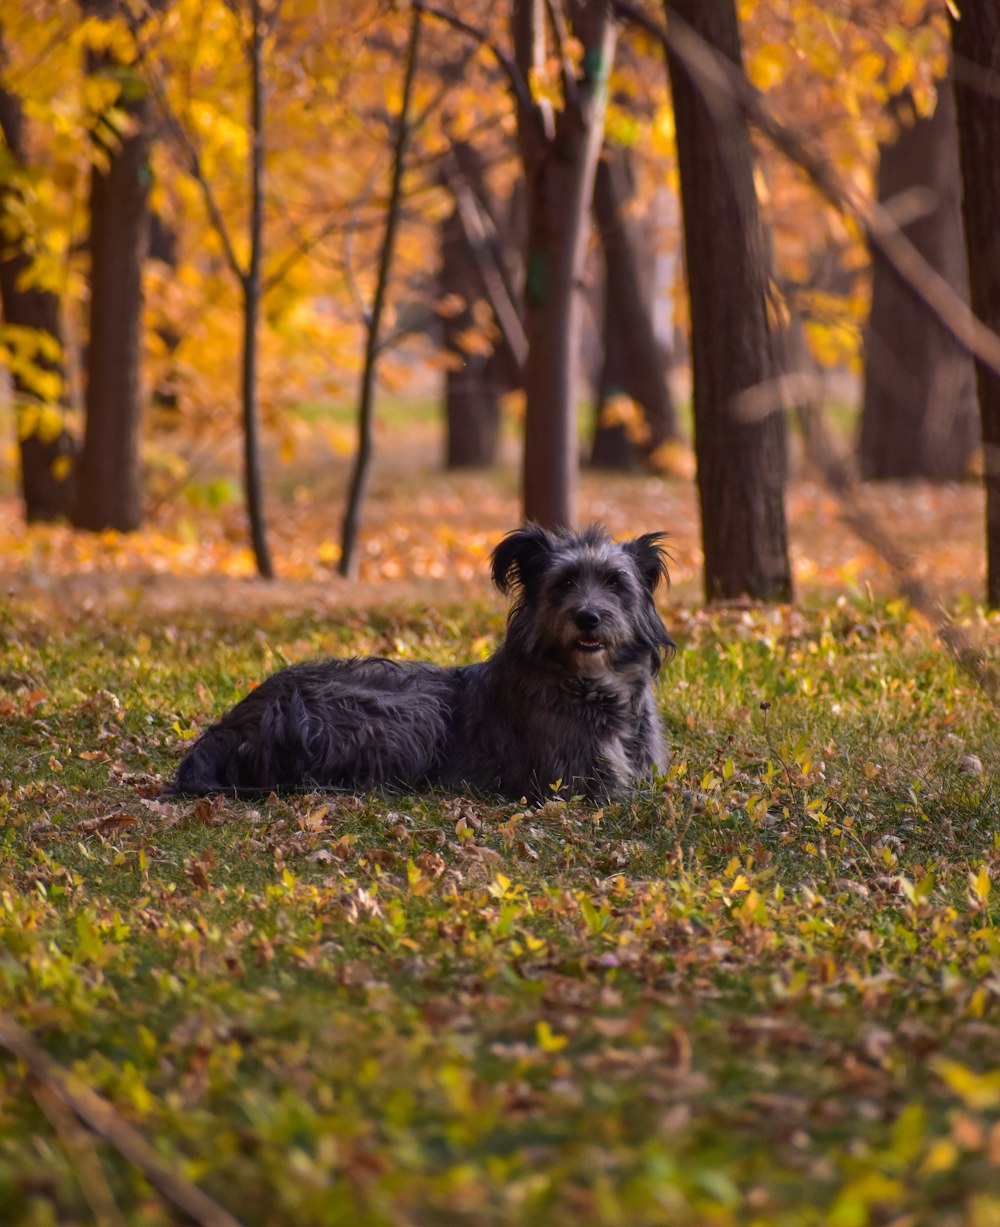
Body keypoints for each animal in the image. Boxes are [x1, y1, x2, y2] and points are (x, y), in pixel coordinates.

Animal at [168, 525, 677, 804]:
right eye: (566, 582)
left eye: (615, 583)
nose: (588, 617)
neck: (591, 685)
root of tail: (231, 723)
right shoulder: (573, 782)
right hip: (410, 709)